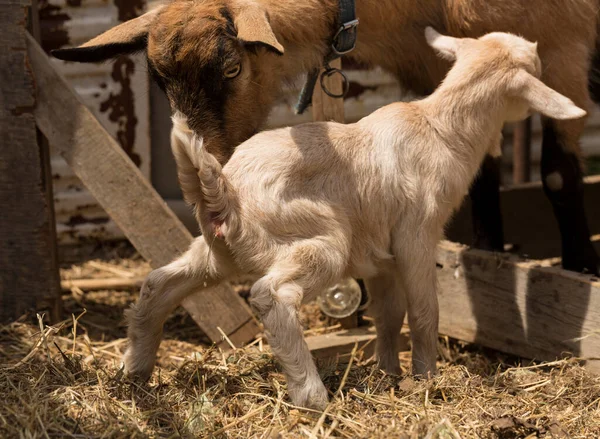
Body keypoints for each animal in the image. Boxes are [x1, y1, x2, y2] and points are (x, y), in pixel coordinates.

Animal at [54, 0, 600, 276]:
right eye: (160, 82)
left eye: (232, 68)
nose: (210, 164)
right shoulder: (439, 64)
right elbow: (480, 172)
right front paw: (488, 254)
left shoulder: (562, 47)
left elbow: (557, 174)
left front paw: (579, 271)